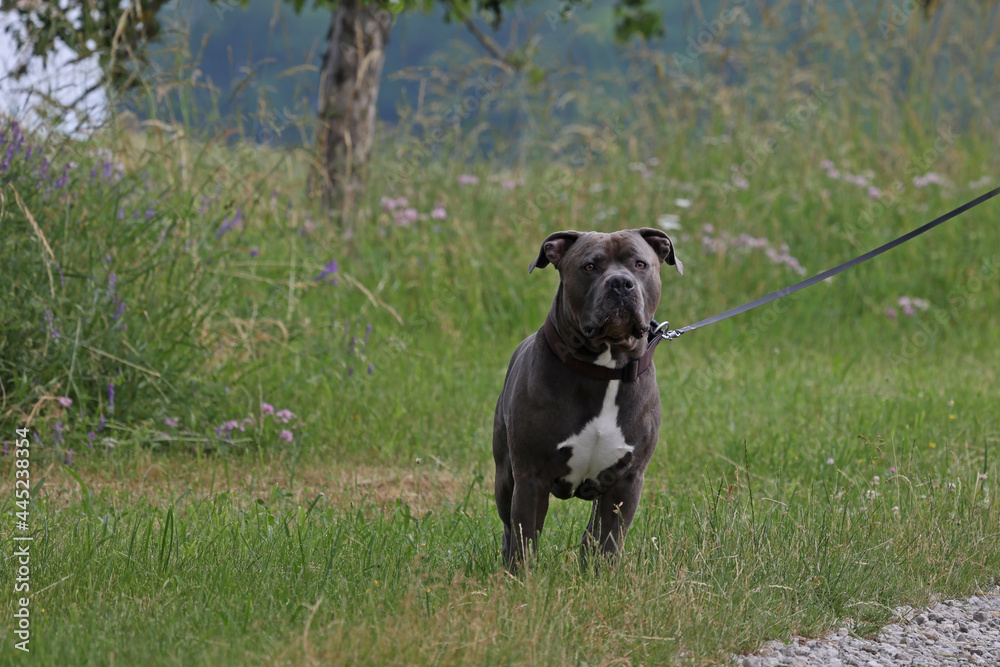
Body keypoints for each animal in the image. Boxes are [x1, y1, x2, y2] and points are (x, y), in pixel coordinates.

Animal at [490, 226, 680, 568]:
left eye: (640, 264)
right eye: (589, 266)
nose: (620, 283)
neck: (604, 368)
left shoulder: (626, 482)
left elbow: (607, 542)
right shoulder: (530, 478)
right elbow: (525, 540)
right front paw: (521, 578)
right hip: (505, 476)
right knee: (509, 528)